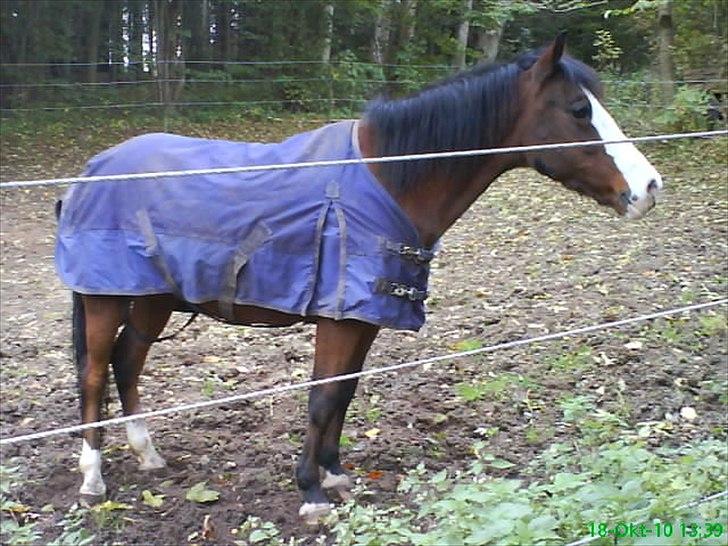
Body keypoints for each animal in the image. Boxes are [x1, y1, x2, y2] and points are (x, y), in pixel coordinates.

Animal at [55, 35, 663, 521]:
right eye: (579, 110)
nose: (649, 188)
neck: (388, 180)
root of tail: (93, 169)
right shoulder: (340, 319)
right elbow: (322, 397)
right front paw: (311, 494)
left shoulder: (364, 317)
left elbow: (344, 393)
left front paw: (335, 473)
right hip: (104, 298)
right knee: (95, 375)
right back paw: (92, 478)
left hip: (150, 299)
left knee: (127, 362)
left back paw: (148, 455)